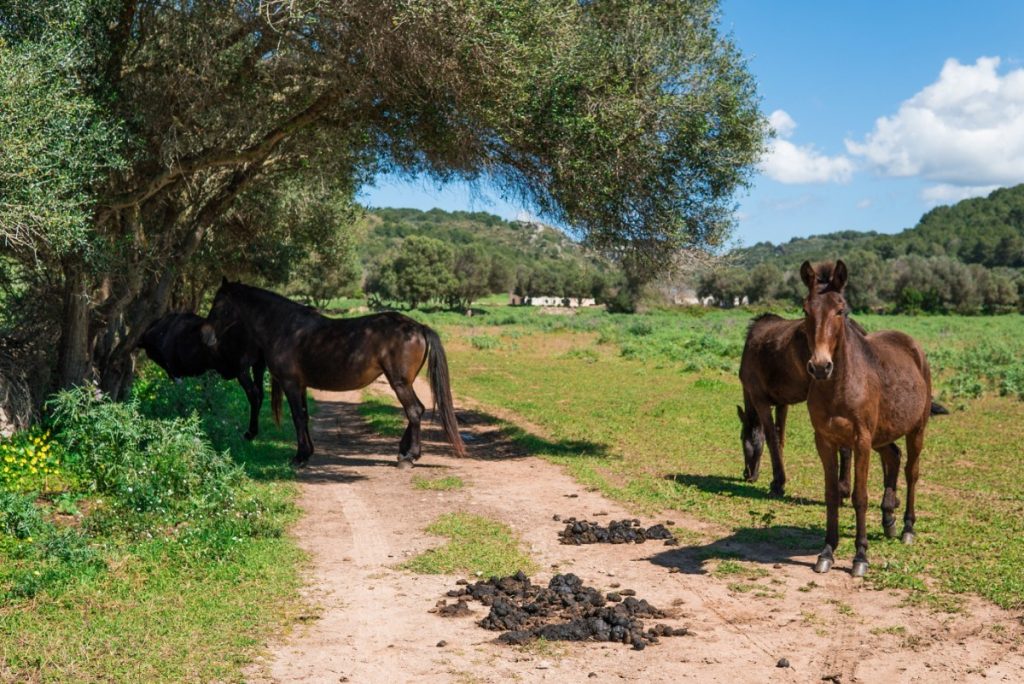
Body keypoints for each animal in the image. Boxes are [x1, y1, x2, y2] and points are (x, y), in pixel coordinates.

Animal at [138, 311, 266, 438]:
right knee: (260, 392)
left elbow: (182, 396)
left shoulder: (174, 370)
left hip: (241, 368)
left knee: (253, 393)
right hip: (258, 366)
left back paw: (250, 432)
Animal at [199, 280, 464, 466]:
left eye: (219, 305)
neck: (285, 327)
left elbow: (297, 417)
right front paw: (308, 452)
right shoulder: (300, 385)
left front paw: (299, 457)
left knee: (414, 411)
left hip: (399, 382)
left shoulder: (290, 383)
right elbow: (304, 416)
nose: (206, 335)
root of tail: (418, 327)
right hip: (402, 382)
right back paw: (402, 452)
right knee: (416, 411)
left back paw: (409, 457)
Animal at [737, 315, 856, 497]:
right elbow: (780, 438)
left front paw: (778, 483)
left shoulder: (760, 400)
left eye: (742, 437)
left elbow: (771, 438)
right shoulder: (782, 403)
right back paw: (844, 488)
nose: (747, 474)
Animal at [798, 262, 937, 577]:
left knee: (911, 471)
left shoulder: (860, 441)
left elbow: (859, 497)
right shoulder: (824, 440)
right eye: (806, 310)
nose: (820, 366)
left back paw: (907, 528)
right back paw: (889, 521)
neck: (839, 385)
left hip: (917, 429)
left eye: (841, 310)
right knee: (893, 457)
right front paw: (827, 552)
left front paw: (860, 556)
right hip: (882, 434)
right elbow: (832, 494)